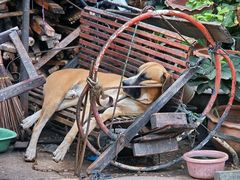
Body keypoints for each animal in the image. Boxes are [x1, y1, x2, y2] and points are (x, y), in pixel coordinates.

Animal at [22, 62, 174, 162]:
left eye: (144, 77)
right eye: (137, 72)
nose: (124, 83)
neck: (141, 99)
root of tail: (54, 73)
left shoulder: (114, 109)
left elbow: (98, 118)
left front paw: (85, 130)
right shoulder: (92, 104)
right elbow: (73, 130)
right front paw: (62, 149)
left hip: (71, 101)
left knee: (47, 111)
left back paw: (28, 121)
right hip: (56, 99)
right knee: (39, 125)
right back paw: (31, 150)